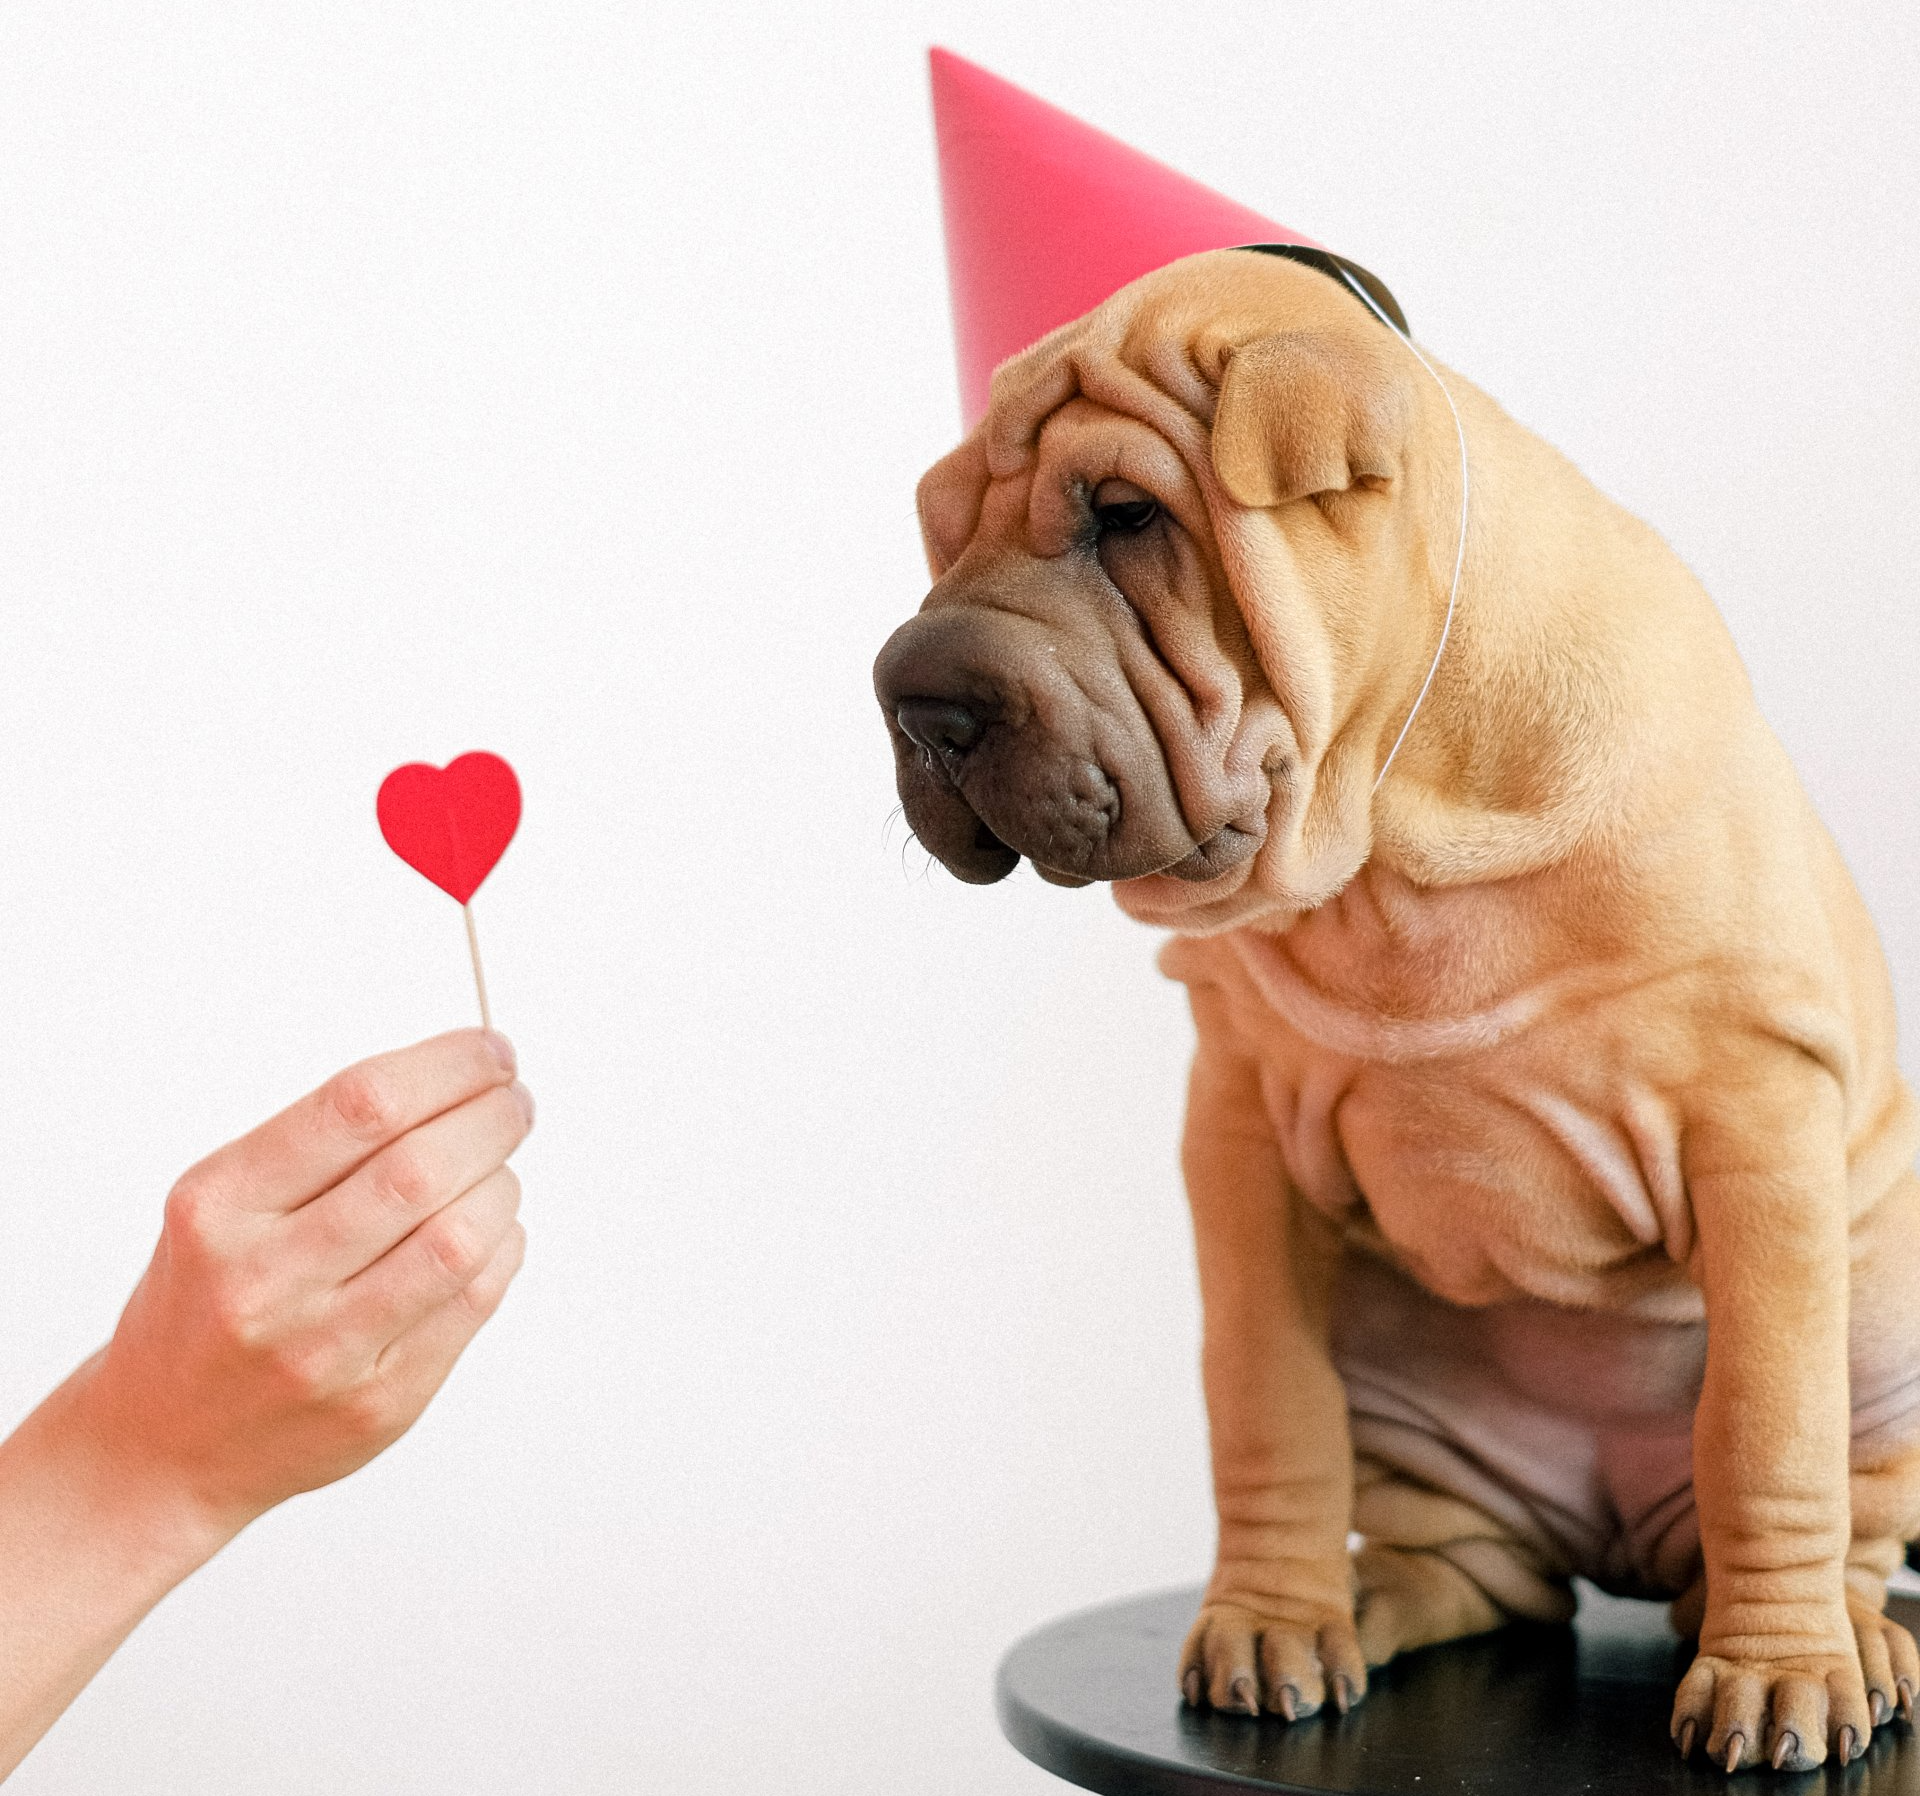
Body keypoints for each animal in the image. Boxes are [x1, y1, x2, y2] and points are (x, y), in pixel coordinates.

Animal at [875, 245, 1920, 1774]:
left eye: (1128, 517)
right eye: (945, 531)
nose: (914, 699)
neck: (1392, 832)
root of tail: (1611, 1531)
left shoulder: (1760, 1122)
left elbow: (1765, 1429)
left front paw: (1779, 1669)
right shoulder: (1239, 1140)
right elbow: (1266, 1402)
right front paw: (1270, 1615)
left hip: (1886, 1331)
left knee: (1843, 1510)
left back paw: (1848, 1633)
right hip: (1409, 1390)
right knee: (1468, 1560)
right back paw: (1364, 1599)